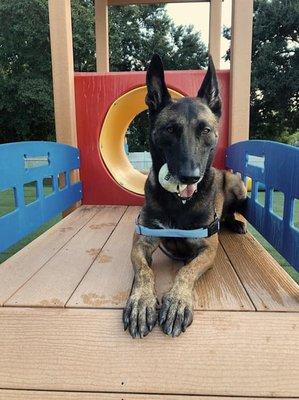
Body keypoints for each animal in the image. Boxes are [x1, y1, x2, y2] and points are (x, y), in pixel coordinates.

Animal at [123, 54, 247, 340]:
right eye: (170, 129)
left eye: (206, 130)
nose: (190, 176)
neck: (179, 203)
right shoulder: (141, 241)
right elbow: (144, 270)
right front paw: (142, 301)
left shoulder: (207, 250)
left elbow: (186, 271)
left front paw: (178, 302)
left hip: (236, 183)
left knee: (230, 210)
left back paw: (234, 222)